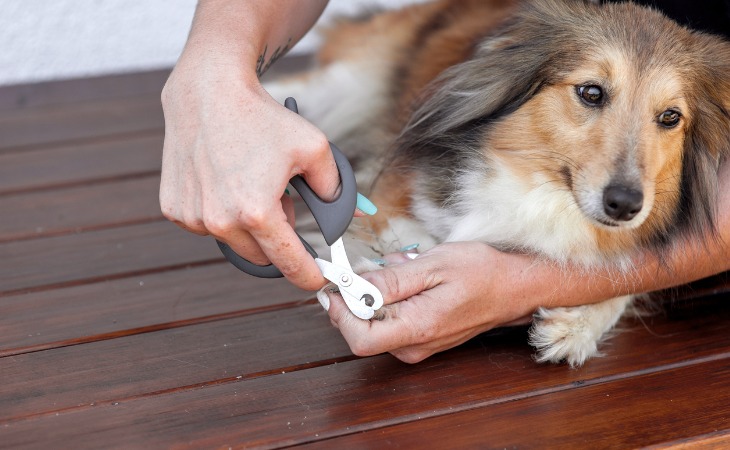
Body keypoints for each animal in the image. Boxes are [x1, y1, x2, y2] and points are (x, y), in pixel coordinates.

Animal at [264, 0, 728, 366]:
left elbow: (620, 270)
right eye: (591, 92)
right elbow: (404, 235)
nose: (626, 204)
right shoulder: (391, 193)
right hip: (348, 83)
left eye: (670, 117)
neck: (541, 189)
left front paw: (574, 327)